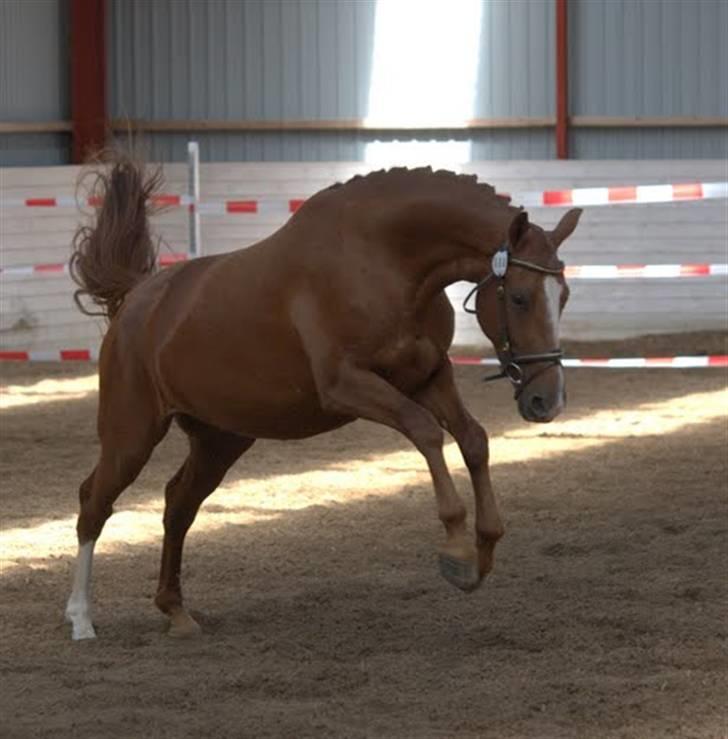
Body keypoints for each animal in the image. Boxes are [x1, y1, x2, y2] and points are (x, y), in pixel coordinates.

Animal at [65, 158, 584, 640]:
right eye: (518, 298)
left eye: (564, 297)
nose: (547, 401)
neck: (385, 258)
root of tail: (138, 297)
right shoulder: (348, 386)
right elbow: (425, 432)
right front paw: (457, 550)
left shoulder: (430, 378)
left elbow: (474, 440)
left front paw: (486, 546)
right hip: (131, 434)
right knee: (94, 502)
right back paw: (81, 619)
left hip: (221, 439)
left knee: (178, 505)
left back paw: (176, 611)